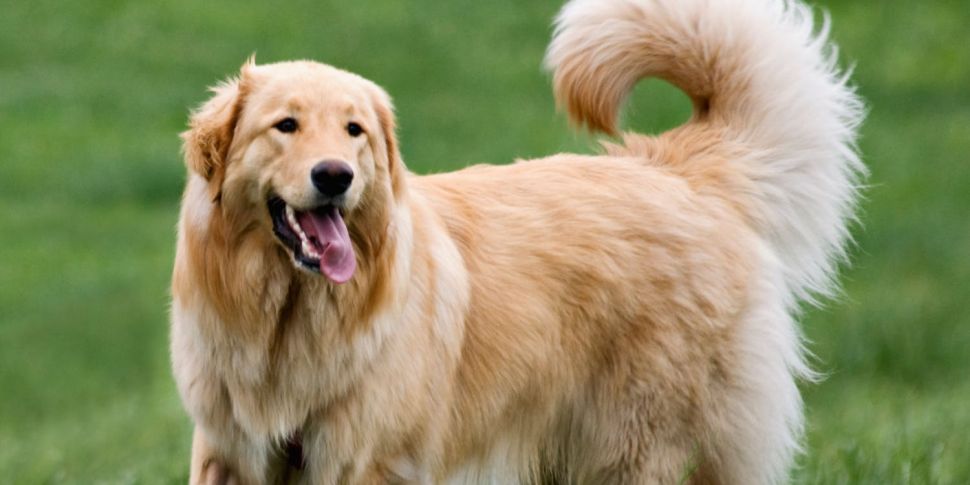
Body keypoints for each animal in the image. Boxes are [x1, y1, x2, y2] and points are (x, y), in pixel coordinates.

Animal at [170, 0, 860, 480]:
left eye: (353, 131)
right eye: (285, 126)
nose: (335, 176)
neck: (290, 320)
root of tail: (672, 167)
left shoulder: (368, 459)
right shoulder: (229, 454)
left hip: (636, 447)